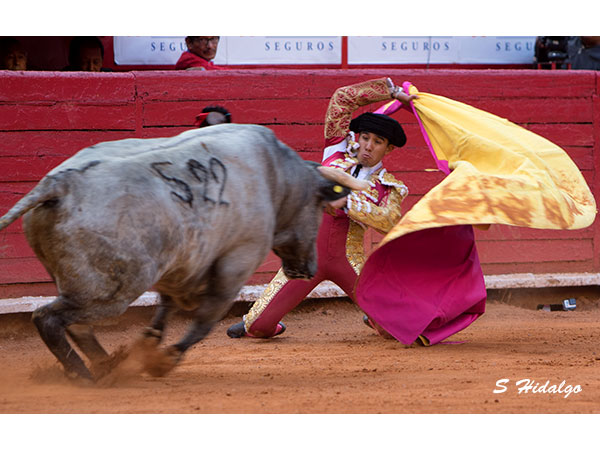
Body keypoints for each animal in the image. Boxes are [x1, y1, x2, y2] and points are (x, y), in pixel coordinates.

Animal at [0, 124, 368, 381]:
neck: (278, 177)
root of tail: (59, 184)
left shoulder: (181, 264)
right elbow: (205, 319)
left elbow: (166, 307)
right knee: (49, 318)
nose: (308, 268)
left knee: (76, 325)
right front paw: (164, 360)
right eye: (319, 209)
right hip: (114, 290)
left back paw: (107, 365)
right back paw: (86, 376)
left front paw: (150, 343)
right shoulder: (237, 261)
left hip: (81, 282)